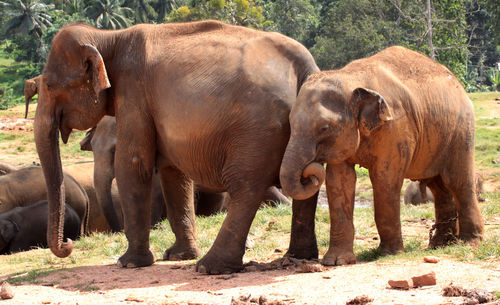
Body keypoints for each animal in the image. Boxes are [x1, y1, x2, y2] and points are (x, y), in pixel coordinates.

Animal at [33, 21, 318, 274]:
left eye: (48, 85)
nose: (68, 243)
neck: (108, 37)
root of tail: (305, 67)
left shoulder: (134, 94)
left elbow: (133, 164)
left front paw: (129, 263)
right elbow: (173, 172)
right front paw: (178, 255)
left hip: (256, 130)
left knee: (246, 187)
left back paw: (209, 267)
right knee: (303, 184)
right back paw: (299, 257)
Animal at [280, 45, 482, 266]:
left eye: (324, 127)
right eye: (290, 122)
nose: (311, 171)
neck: (350, 77)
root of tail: (459, 84)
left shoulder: (396, 127)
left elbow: (384, 179)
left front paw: (389, 253)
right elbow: (339, 182)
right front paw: (336, 261)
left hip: (462, 130)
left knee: (458, 182)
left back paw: (469, 242)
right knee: (439, 187)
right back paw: (440, 245)